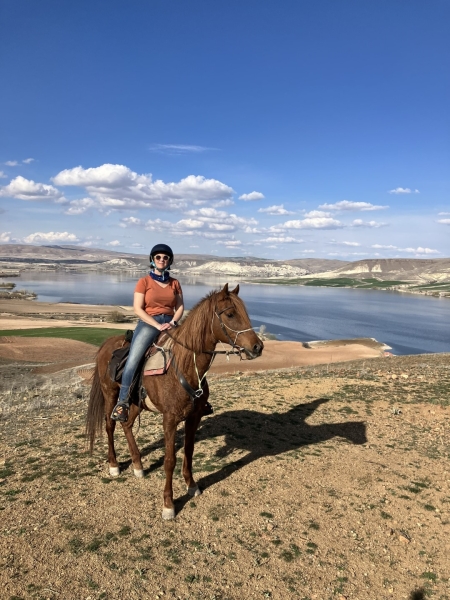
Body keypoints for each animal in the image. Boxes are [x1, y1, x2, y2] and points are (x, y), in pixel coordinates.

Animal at [85, 284, 264, 516]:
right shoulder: (169, 419)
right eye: (231, 314)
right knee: (110, 425)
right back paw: (114, 465)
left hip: (137, 403)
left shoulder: (194, 417)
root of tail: (107, 344)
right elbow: (170, 460)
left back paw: (138, 465)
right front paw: (168, 504)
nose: (257, 347)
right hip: (111, 394)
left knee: (127, 424)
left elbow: (189, 451)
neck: (185, 366)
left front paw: (192, 485)